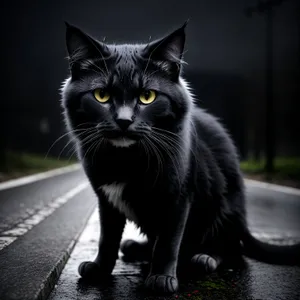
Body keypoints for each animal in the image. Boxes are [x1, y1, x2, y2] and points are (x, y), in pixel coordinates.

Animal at [61, 22, 300, 294]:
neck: (126, 159)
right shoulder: (106, 199)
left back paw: (204, 258)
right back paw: (135, 247)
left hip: (226, 205)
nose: (123, 120)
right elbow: (107, 237)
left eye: (147, 96)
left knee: (231, 248)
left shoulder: (178, 194)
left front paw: (161, 279)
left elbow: (168, 241)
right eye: (101, 95)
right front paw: (100, 269)